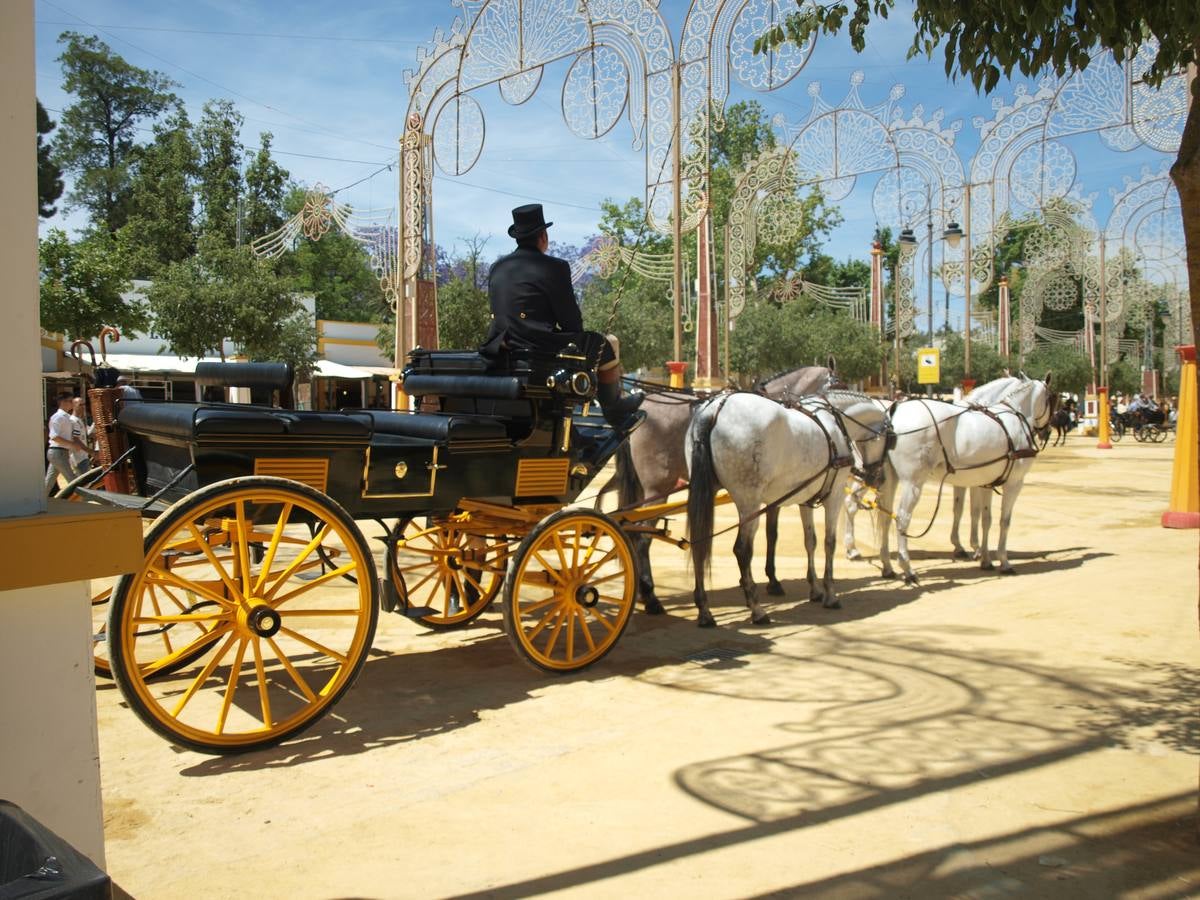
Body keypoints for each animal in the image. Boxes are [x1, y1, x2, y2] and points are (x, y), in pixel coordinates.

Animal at [686, 391, 892, 628]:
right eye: (890, 440)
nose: (879, 479)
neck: (835, 422)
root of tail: (715, 407)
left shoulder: (806, 498)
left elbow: (810, 541)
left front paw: (815, 590)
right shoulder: (835, 495)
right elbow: (829, 543)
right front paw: (830, 594)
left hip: (706, 493)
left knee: (699, 544)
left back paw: (704, 610)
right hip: (749, 502)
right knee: (742, 550)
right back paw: (757, 610)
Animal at [878, 374, 1056, 585]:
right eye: (1052, 398)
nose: (1047, 431)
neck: (1014, 416)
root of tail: (894, 413)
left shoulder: (986, 483)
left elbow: (985, 518)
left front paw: (985, 559)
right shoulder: (1014, 483)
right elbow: (1004, 521)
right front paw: (1004, 561)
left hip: (891, 479)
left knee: (885, 516)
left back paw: (887, 566)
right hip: (913, 483)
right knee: (902, 519)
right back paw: (907, 568)